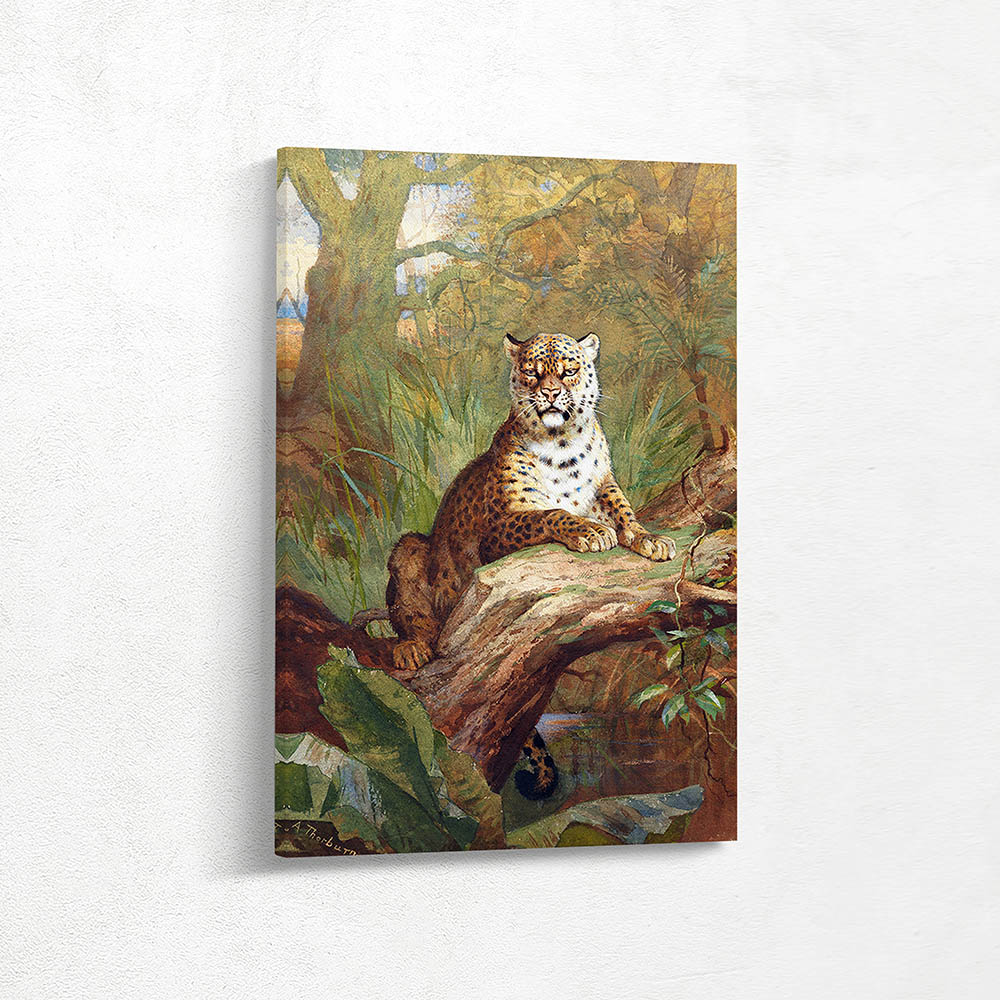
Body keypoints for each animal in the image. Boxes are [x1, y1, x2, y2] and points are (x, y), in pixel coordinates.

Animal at [385, 331, 676, 799]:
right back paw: (413, 647)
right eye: (532, 372)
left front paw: (649, 538)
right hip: (410, 549)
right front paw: (590, 532)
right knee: (416, 619)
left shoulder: (605, 485)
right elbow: (550, 514)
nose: (552, 393)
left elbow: (623, 510)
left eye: (569, 370)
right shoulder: (500, 529)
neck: (563, 446)